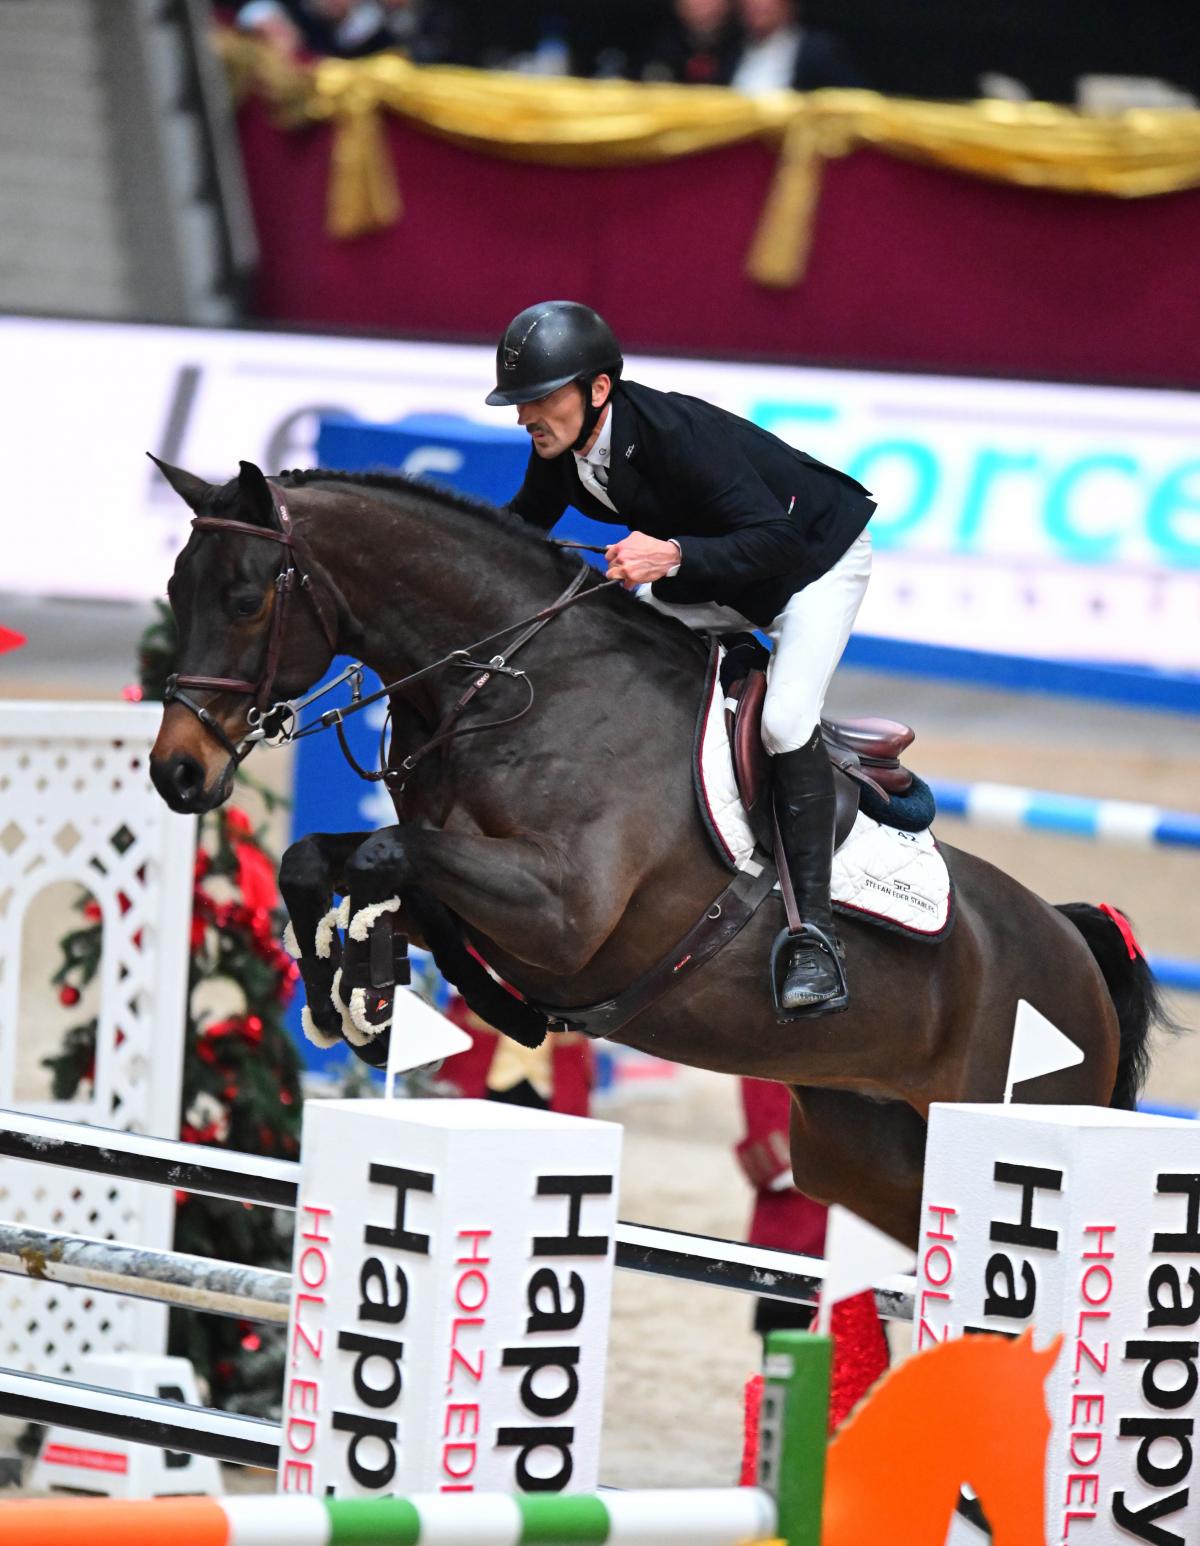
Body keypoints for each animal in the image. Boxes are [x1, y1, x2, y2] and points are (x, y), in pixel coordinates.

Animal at [145, 454, 1169, 1242]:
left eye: (245, 599)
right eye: (171, 592)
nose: (177, 775)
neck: (524, 681)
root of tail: (1076, 944)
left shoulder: (563, 914)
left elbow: (382, 860)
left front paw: (387, 996)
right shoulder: (479, 872)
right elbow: (326, 861)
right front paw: (349, 997)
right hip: (868, 1155)